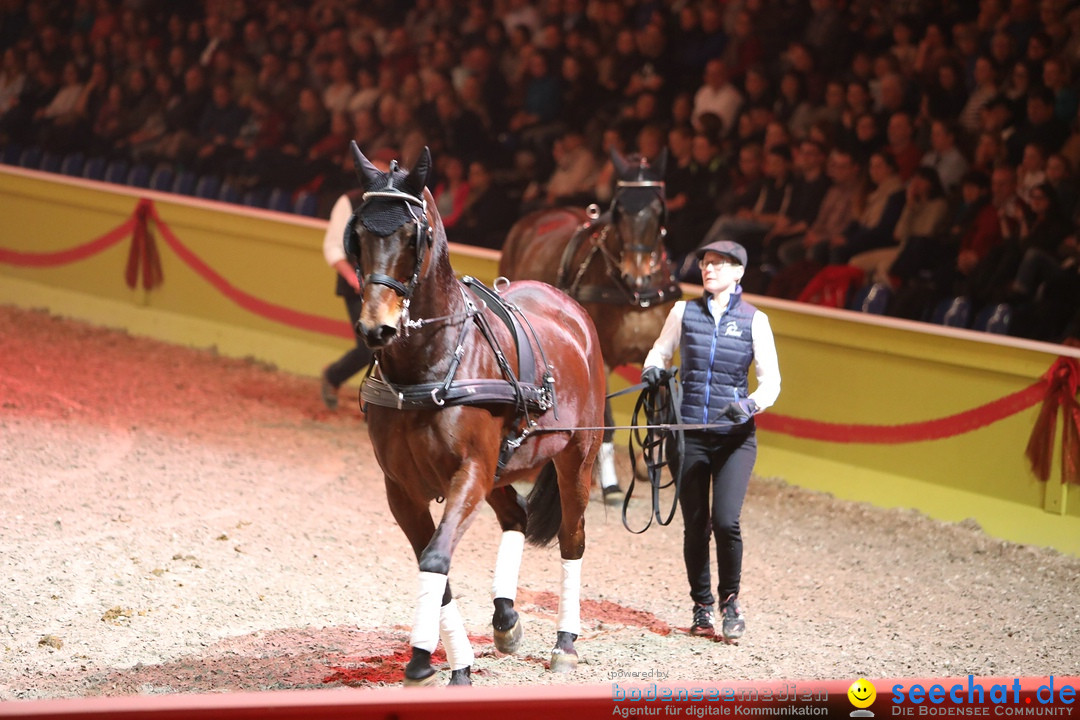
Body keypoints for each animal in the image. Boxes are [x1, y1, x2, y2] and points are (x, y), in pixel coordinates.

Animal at [345, 142, 609, 686]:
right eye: (357, 234)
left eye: (414, 235)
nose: (377, 327)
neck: (429, 366)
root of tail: (570, 307)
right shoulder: (401, 489)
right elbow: (433, 562)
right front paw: (454, 661)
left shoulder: (468, 472)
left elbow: (437, 556)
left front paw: (424, 658)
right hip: (501, 468)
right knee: (516, 515)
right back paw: (505, 618)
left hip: (576, 456)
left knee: (572, 540)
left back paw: (565, 642)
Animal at [494, 151, 673, 500]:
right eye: (619, 209)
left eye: (658, 208)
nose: (637, 274)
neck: (632, 296)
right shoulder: (600, 360)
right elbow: (606, 420)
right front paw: (611, 484)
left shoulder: (654, 350)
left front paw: (650, 468)